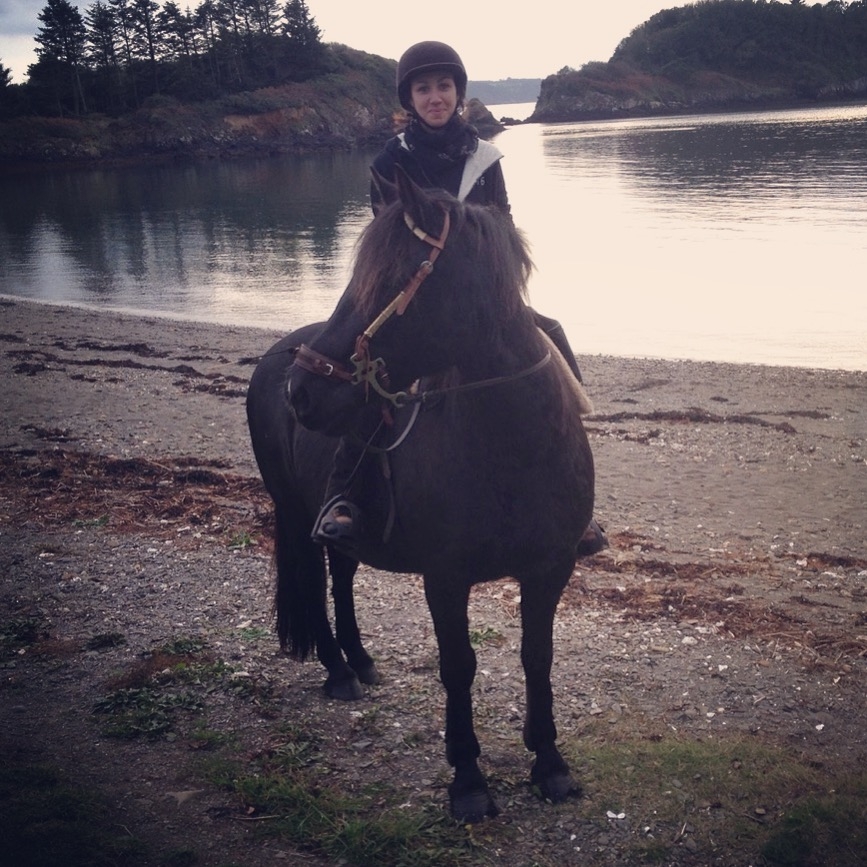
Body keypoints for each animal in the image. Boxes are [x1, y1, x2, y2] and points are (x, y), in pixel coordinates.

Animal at [246, 168, 595, 822]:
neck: (512, 446)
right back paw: (338, 671)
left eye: (390, 279)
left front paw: (549, 763)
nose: (301, 390)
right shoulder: (446, 577)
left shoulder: (550, 568)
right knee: (314, 581)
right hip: (293, 509)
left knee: (340, 574)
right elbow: (458, 667)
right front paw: (468, 779)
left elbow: (537, 657)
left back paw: (359, 659)